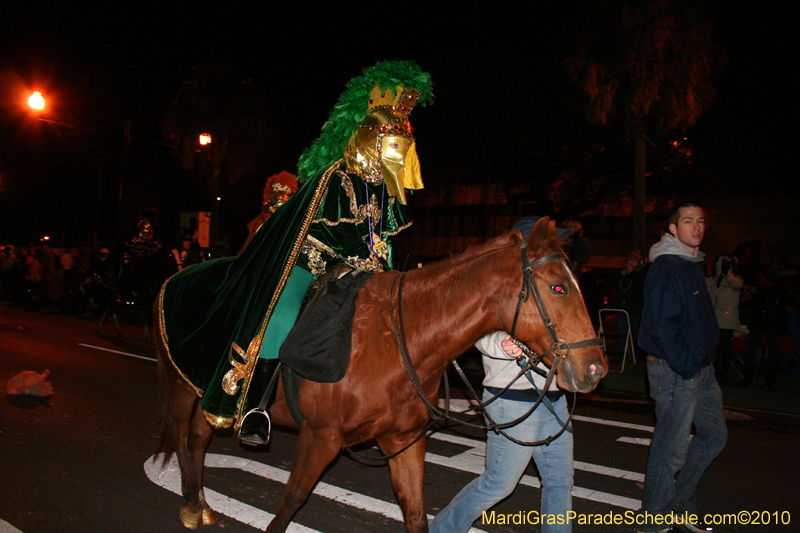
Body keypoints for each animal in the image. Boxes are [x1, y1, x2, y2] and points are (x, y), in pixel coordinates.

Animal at [155, 215, 608, 528]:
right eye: (558, 287)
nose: (594, 368)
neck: (395, 341)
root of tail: (176, 276)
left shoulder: (402, 440)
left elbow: (415, 513)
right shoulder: (321, 437)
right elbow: (292, 500)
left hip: (208, 391)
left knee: (199, 436)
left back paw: (201, 505)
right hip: (180, 385)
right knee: (180, 433)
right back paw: (190, 506)